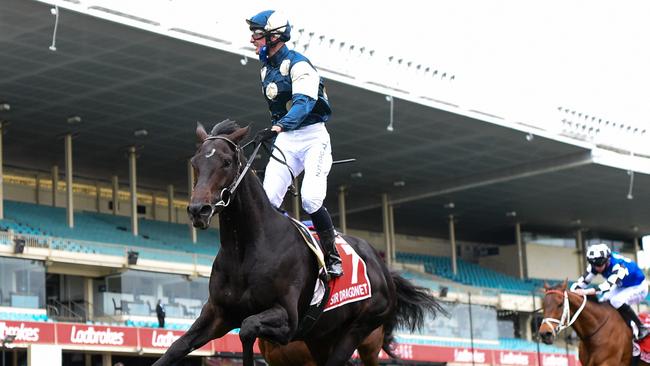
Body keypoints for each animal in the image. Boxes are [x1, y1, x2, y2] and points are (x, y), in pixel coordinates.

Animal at [154, 121, 442, 366]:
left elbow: (247, 329)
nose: (198, 210)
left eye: (226, 161)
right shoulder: (217, 314)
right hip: (321, 336)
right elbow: (176, 348)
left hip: (359, 328)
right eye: (195, 162)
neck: (246, 249)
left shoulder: (288, 320)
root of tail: (382, 267)